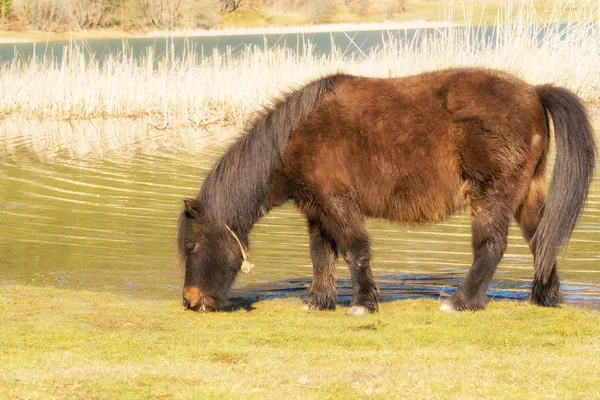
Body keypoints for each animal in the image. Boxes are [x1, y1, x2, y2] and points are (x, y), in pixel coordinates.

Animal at [177, 67, 596, 314]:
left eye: (192, 246)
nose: (191, 300)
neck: (294, 137)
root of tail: (534, 93)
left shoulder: (337, 203)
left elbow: (355, 250)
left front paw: (362, 304)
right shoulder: (318, 210)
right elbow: (321, 256)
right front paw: (318, 301)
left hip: (490, 196)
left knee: (491, 246)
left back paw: (461, 302)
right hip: (525, 193)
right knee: (542, 239)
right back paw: (544, 298)